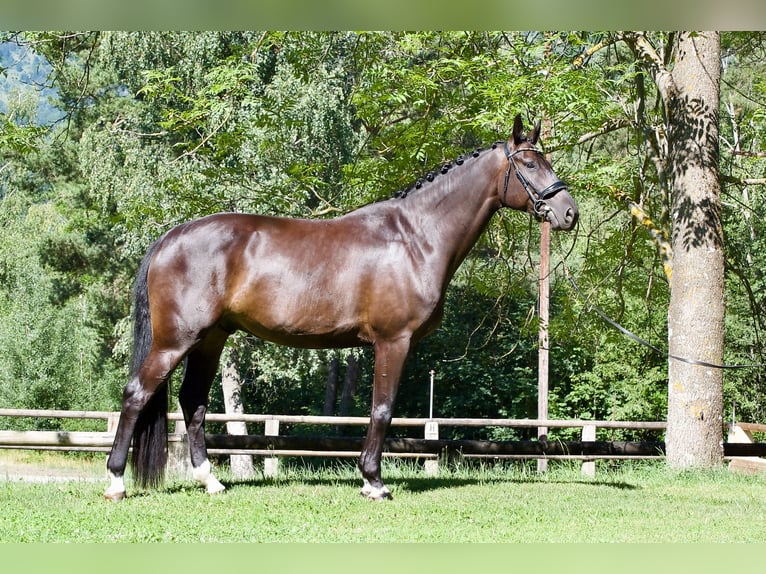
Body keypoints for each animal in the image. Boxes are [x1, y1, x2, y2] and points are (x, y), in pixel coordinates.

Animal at [104, 114, 578, 501]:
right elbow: (382, 410)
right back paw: (115, 482)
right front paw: (374, 482)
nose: (569, 212)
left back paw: (210, 481)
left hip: (210, 339)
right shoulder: (393, 341)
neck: (415, 236)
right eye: (529, 164)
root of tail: (170, 238)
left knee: (193, 402)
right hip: (176, 340)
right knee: (137, 393)